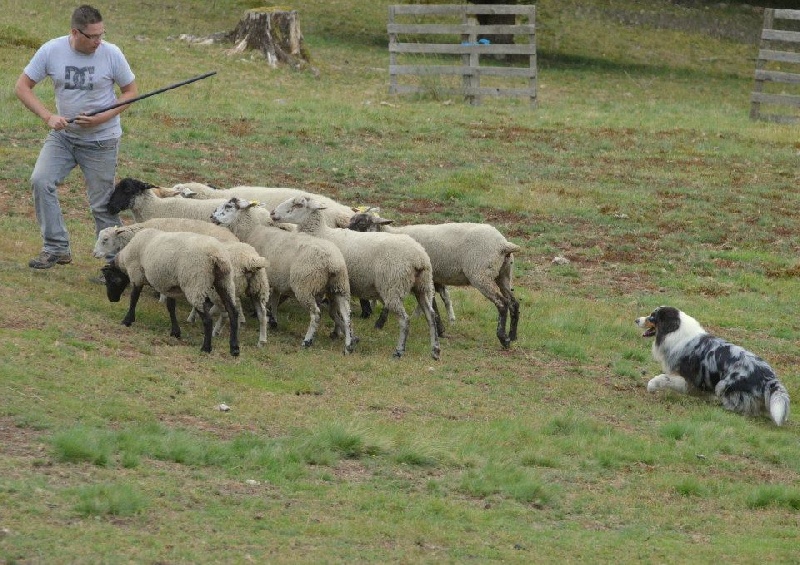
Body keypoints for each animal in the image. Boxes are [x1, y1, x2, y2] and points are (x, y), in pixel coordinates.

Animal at [211, 196, 354, 350]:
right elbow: (275, 298)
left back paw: (307, 340)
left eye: (229, 206)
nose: (212, 216)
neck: (251, 231)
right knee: (346, 315)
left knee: (316, 314)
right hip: (340, 286)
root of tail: (332, 261)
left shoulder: (266, 279)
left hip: (305, 285)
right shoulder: (276, 278)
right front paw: (273, 319)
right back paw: (348, 345)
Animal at [272, 196, 440, 360]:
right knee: (431, 315)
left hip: (393, 286)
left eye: (298, 204)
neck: (321, 233)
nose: (273, 213)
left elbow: (335, 312)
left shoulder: (331, 285)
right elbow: (337, 312)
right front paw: (341, 334)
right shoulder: (337, 286)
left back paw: (398, 351)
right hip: (423, 286)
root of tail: (420, 258)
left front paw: (343, 336)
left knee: (405, 319)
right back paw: (435, 351)